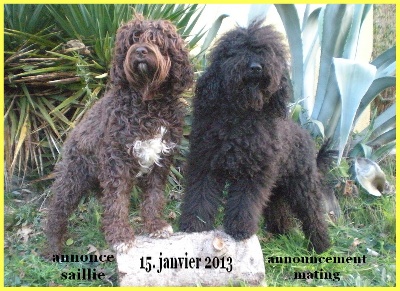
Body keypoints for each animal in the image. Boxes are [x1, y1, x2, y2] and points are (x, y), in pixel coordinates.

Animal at [180, 21, 332, 253]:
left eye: (269, 53)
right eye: (236, 50)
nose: (255, 67)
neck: (241, 118)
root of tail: (306, 137)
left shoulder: (254, 173)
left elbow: (245, 202)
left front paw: (240, 229)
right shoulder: (206, 164)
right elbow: (200, 196)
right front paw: (195, 225)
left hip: (302, 184)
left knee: (312, 213)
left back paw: (320, 245)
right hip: (277, 186)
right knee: (278, 208)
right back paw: (282, 231)